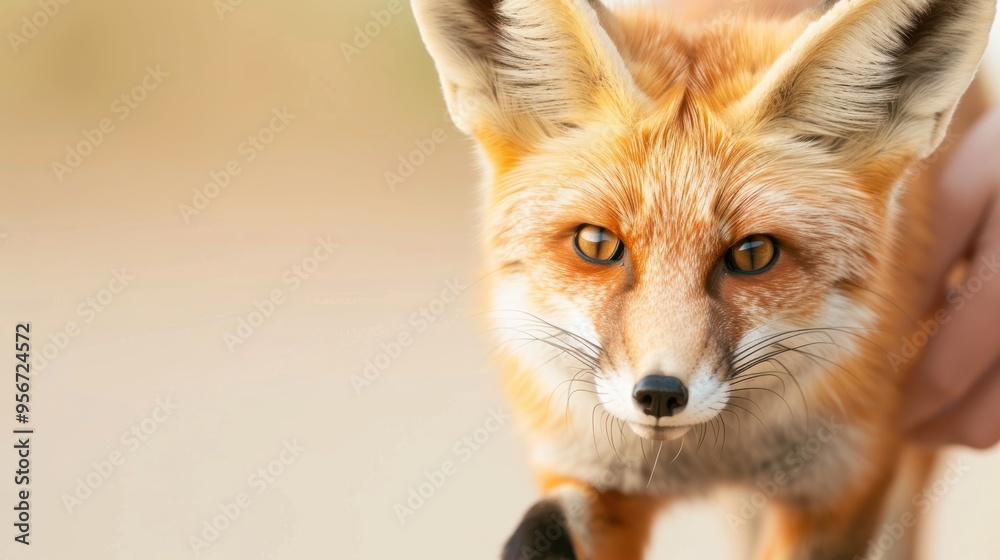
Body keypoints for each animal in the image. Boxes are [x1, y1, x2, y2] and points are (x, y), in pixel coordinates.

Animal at [412, 0, 996, 558]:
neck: (706, 457)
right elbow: (542, 529)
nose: (659, 395)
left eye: (754, 254)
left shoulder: (842, 484)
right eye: (596, 244)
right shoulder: (592, 471)